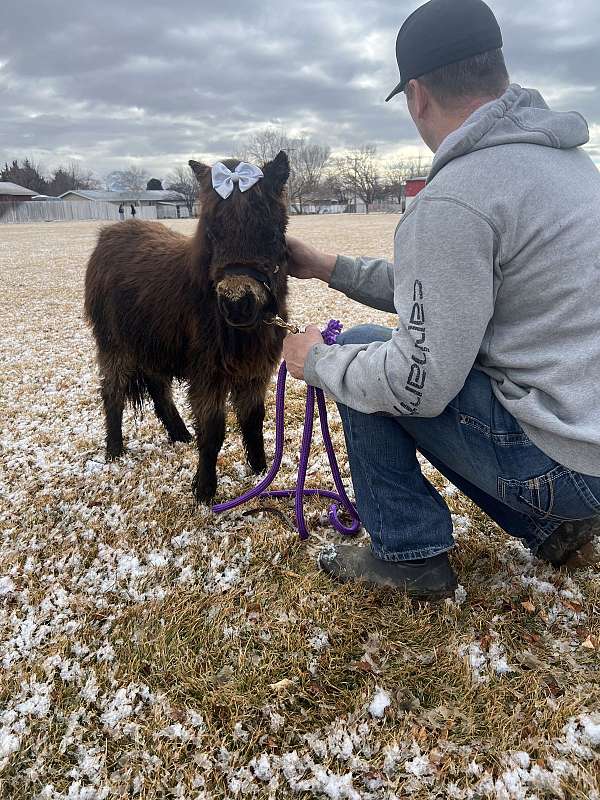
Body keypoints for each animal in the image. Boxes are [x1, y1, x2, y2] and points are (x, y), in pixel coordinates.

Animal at [85, 150, 290, 500]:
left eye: (272, 233)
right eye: (211, 233)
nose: (237, 304)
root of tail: (111, 232)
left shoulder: (255, 370)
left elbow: (253, 420)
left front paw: (260, 472)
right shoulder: (208, 374)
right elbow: (213, 431)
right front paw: (204, 490)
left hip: (151, 344)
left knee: (158, 389)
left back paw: (180, 435)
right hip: (115, 345)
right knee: (112, 392)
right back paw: (114, 451)